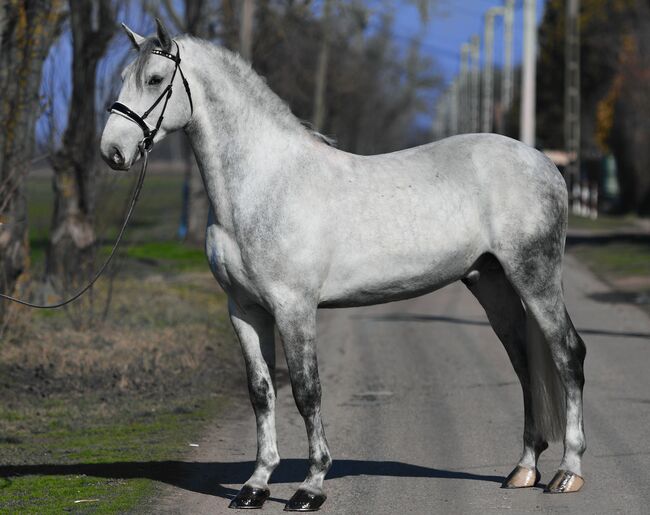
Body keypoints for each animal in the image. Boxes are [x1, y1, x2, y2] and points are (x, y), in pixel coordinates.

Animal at [101, 20, 588, 512]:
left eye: (155, 80)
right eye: (123, 76)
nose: (112, 152)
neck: (264, 185)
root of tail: (546, 164)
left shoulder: (294, 308)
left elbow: (306, 391)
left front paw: (310, 487)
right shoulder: (244, 309)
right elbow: (261, 392)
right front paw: (255, 485)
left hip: (535, 277)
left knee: (567, 354)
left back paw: (567, 473)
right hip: (491, 282)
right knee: (523, 362)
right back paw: (524, 468)